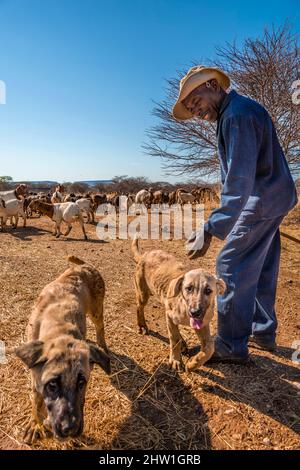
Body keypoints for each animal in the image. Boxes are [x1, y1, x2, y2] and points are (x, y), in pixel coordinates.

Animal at [14, 258, 110, 444]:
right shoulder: (35, 377)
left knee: (100, 327)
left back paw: (102, 344)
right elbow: (37, 400)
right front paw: (36, 423)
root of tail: (84, 265)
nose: (70, 429)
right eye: (52, 385)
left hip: (97, 310)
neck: (58, 325)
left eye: (82, 383)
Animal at [131, 239, 225, 374]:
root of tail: (145, 254)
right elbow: (174, 338)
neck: (185, 308)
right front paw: (176, 360)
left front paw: (193, 364)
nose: (195, 312)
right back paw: (142, 325)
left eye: (208, 290)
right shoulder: (170, 317)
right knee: (139, 307)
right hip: (143, 294)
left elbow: (209, 347)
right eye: (189, 288)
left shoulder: (202, 324)